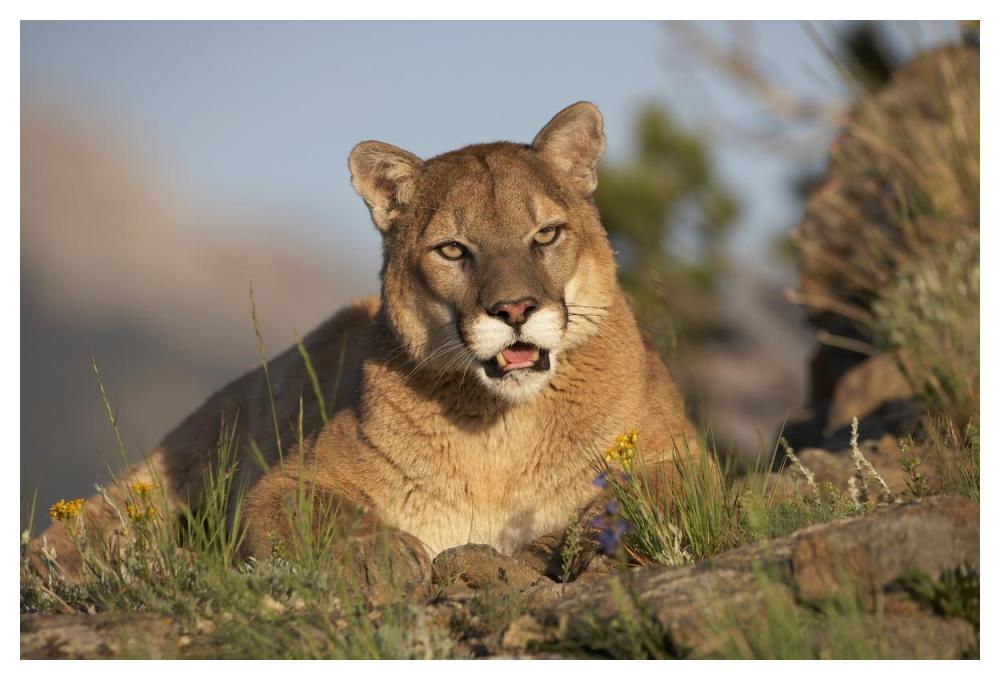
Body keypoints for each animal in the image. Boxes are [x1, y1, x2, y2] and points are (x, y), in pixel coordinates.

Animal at [33, 102, 699, 590]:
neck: (503, 433)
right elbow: (319, 514)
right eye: (453, 249)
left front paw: (582, 539)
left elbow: (654, 493)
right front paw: (383, 553)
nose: (513, 310)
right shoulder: (285, 483)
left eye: (546, 234)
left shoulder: (683, 456)